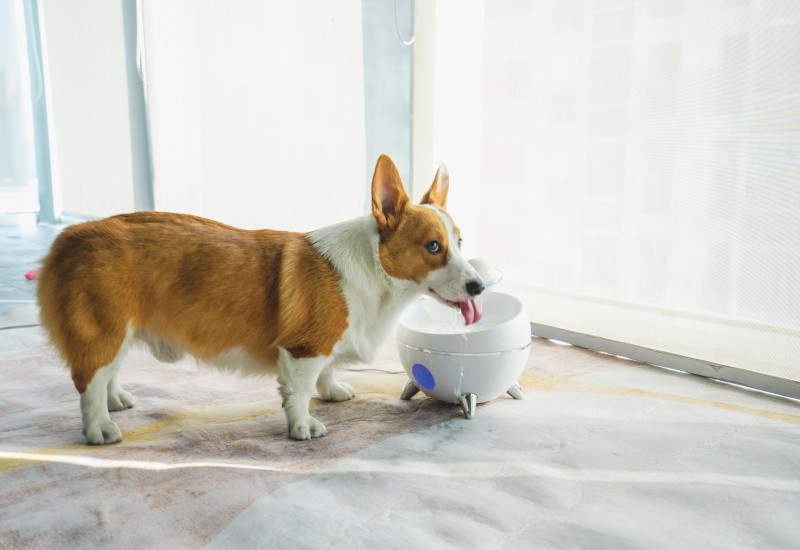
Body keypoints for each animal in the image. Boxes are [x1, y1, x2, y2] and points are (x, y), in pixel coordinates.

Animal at [37, 153, 484, 446]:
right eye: (433, 246)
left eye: (461, 242)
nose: (480, 286)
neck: (375, 266)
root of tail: (66, 238)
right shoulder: (304, 349)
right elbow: (299, 393)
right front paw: (303, 427)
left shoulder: (324, 346)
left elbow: (326, 373)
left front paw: (333, 390)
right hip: (104, 326)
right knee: (89, 381)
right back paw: (100, 429)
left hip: (119, 330)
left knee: (107, 371)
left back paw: (116, 401)